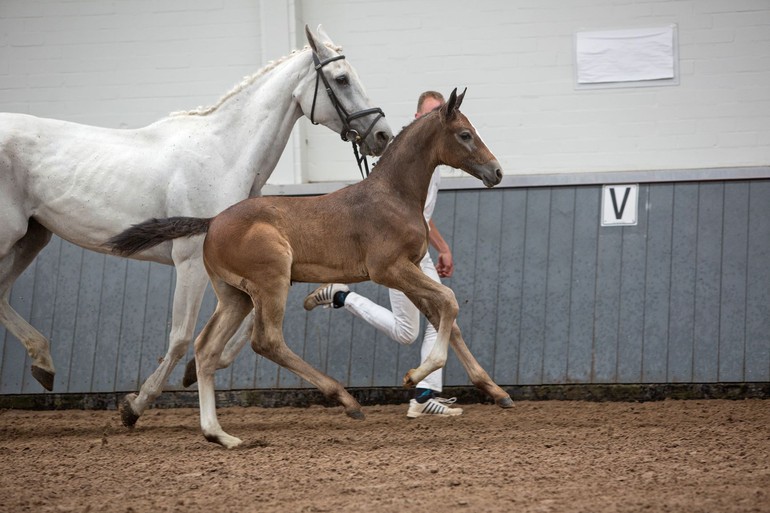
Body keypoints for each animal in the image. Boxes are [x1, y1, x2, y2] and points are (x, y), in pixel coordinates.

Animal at [0, 25, 388, 424]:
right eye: (341, 79)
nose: (381, 135)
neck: (224, 155)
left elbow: (243, 324)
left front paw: (196, 371)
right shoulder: (191, 262)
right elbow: (182, 336)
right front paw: (135, 405)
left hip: (31, 239)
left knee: (1, 294)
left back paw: (43, 365)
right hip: (8, 237)